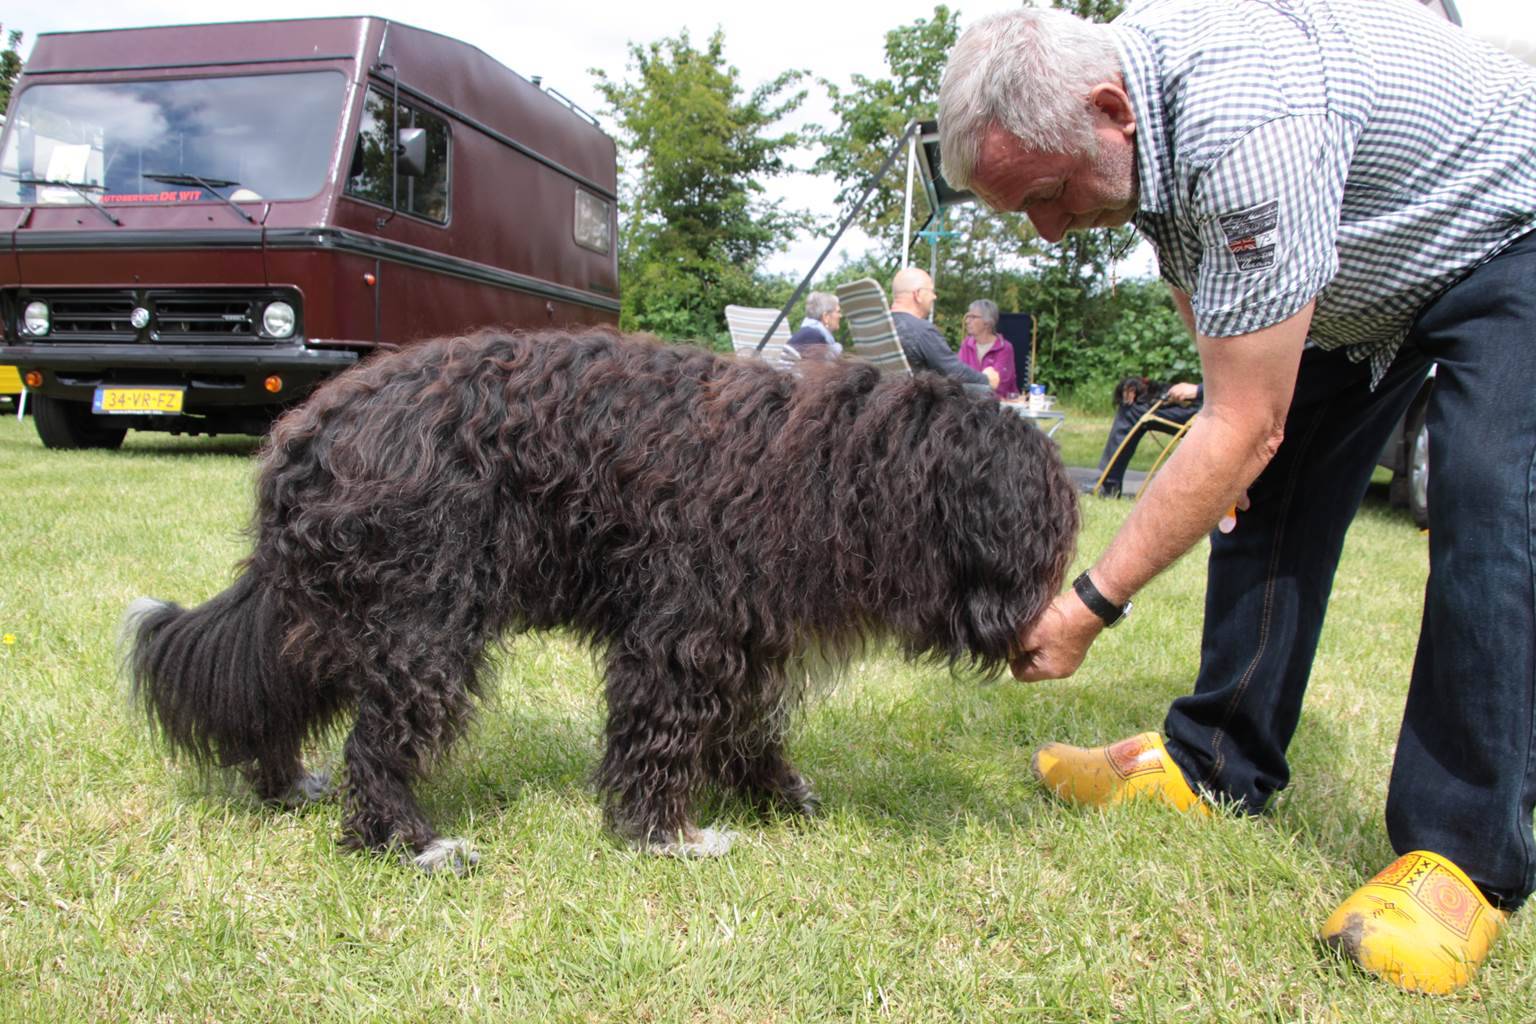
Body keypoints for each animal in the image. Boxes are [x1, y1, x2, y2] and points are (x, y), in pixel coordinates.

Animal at [125, 328, 1075, 872]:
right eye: (1036, 547)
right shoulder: (681, 626)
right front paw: (666, 837)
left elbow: (746, 727)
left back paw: (285, 786)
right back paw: (412, 844)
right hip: (422, 621)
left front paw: (778, 797)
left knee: (273, 690)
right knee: (377, 746)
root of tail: (308, 432)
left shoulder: (744, 632)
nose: (1036, 627)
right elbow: (660, 734)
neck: (846, 468)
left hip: (336, 610)